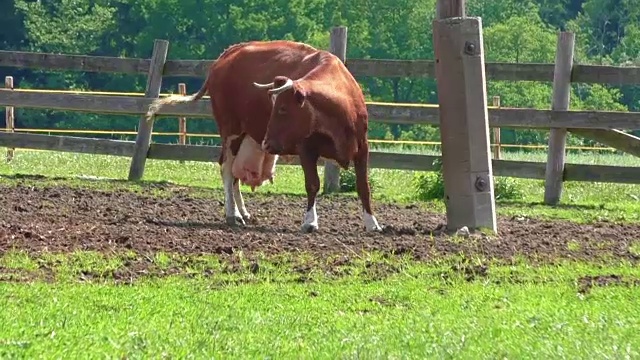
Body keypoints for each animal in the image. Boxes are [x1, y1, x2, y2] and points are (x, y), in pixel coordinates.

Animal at [145, 40, 380, 233]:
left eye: (282, 108)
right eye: (274, 107)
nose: (267, 143)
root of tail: (227, 55)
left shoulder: (363, 147)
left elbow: (363, 186)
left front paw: (372, 223)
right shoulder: (306, 149)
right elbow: (312, 184)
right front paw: (310, 221)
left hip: (245, 135)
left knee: (235, 173)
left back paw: (242, 213)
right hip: (231, 131)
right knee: (227, 168)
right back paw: (232, 214)